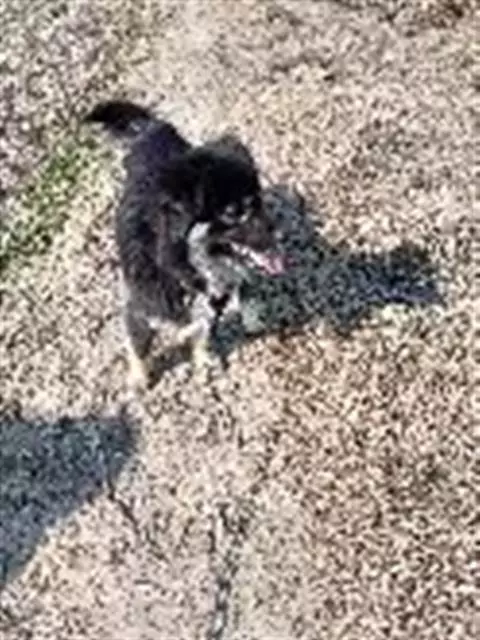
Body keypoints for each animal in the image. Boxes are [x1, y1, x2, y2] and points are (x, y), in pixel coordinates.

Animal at [85, 100, 284, 387]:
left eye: (258, 203)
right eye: (232, 214)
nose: (280, 236)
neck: (181, 266)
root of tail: (154, 127)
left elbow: (202, 331)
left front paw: (202, 360)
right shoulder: (140, 307)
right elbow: (139, 347)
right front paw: (139, 379)